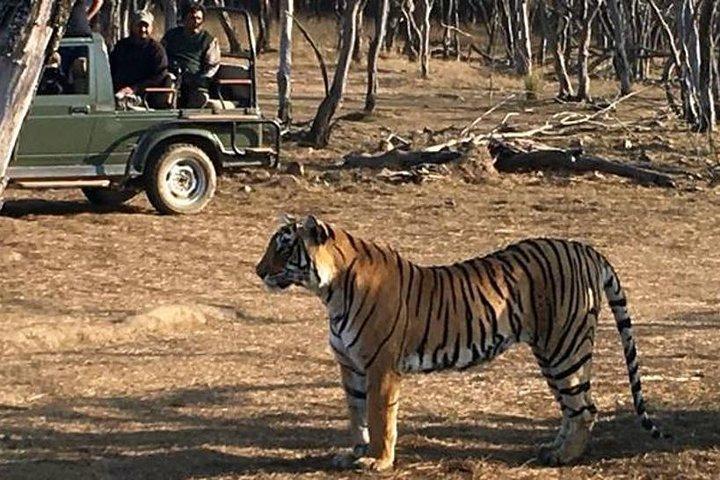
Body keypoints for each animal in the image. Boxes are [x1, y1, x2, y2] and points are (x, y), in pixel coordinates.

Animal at [255, 214, 667, 471]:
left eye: (284, 248)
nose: (258, 271)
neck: (329, 292)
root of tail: (585, 249)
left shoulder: (380, 366)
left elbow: (379, 415)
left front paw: (377, 461)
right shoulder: (350, 366)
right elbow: (356, 416)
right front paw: (354, 453)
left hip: (564, 346)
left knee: (585, 407)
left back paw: (564, 457)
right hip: (552, 352)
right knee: (572, 406)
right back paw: (553, 449)